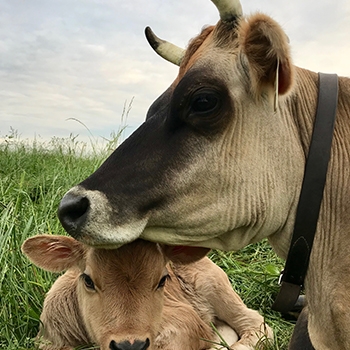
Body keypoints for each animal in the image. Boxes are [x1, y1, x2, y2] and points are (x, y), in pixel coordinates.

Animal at [22, 235, 274, 350]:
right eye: (88, 280)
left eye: (163, 279)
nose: (129, 346)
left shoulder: (184, 321)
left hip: (215, 285)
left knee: (256, 323)